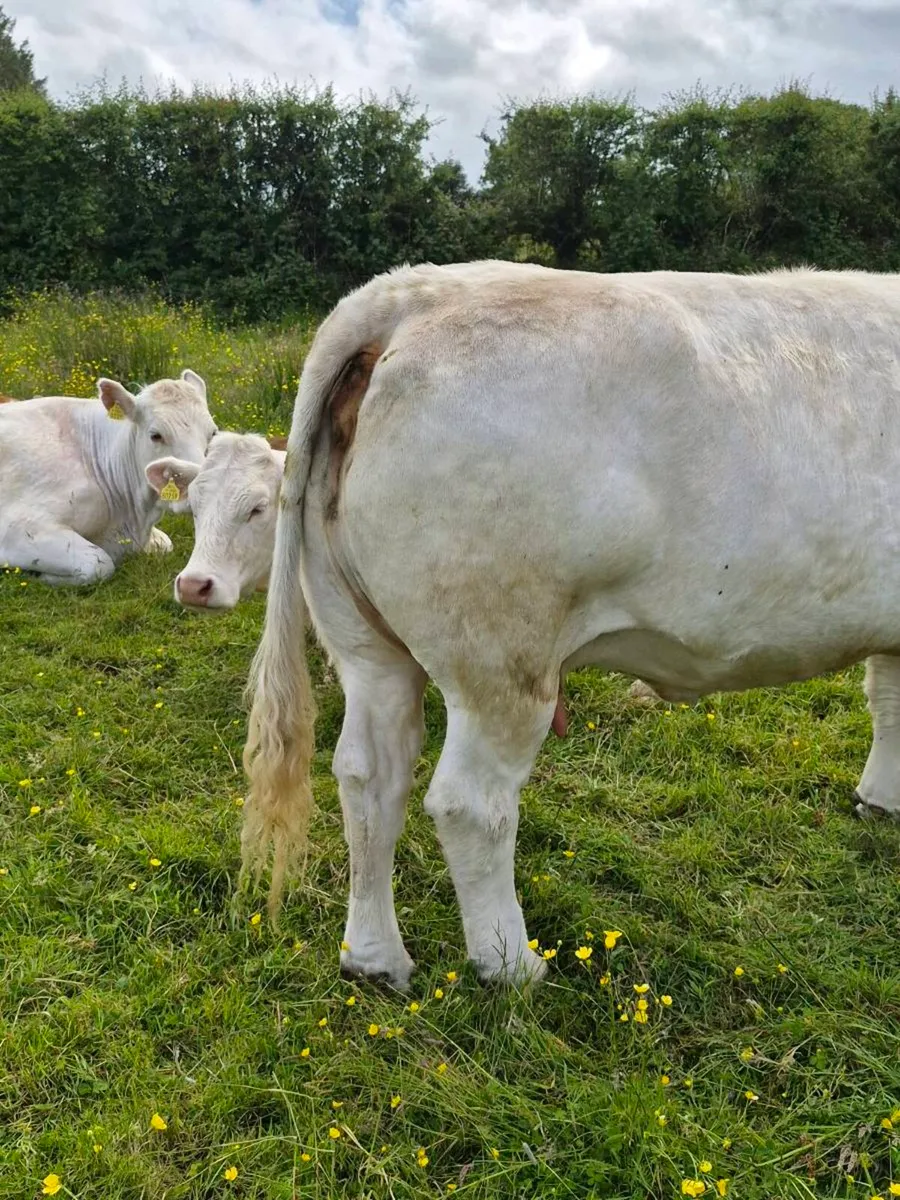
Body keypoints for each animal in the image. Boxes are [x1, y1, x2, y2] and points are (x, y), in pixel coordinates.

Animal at [241, 260, 900, 991]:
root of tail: (408, 294)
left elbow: (887, 697)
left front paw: (881, 798)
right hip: (500, 652)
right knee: (471, 803)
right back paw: (511, 965)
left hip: (366, 645)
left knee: (368, 776)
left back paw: (375, 958)